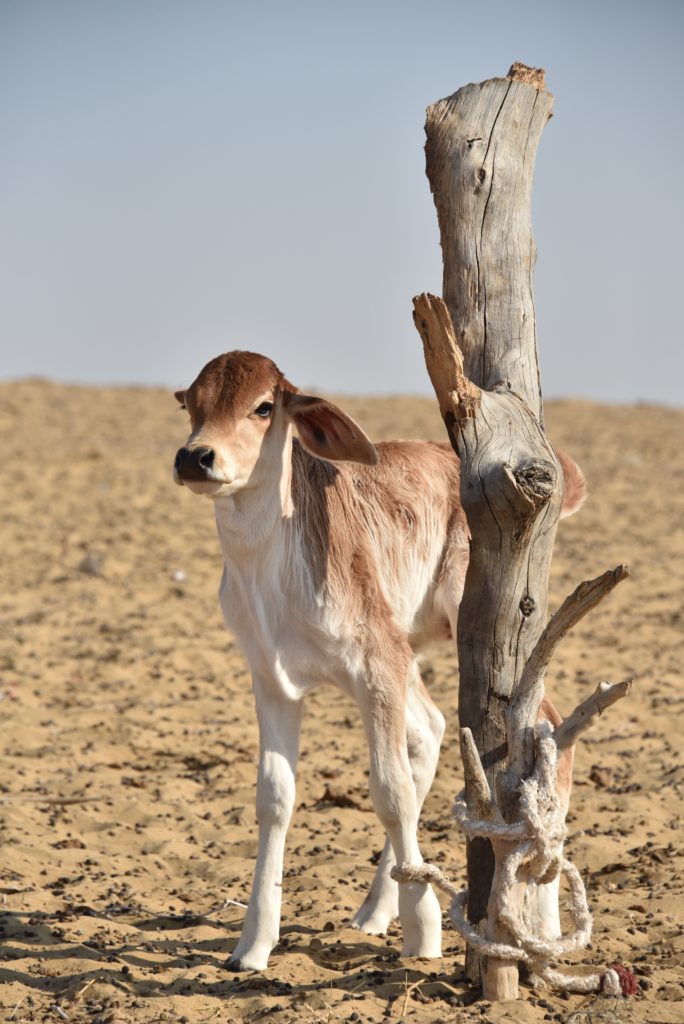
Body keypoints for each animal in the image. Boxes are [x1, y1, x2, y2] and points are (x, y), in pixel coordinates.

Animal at [172, 350, 581, 966]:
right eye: (191, 404)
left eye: (263, 407)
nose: (196, 457)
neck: (273, 566)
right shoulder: (270, 677)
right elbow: (275, 798)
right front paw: (253, 944)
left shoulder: (378, 661)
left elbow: (391, 792)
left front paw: (424, 930)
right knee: (431, 728)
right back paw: (373, 911)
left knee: (548, 723)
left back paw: (546, 923)